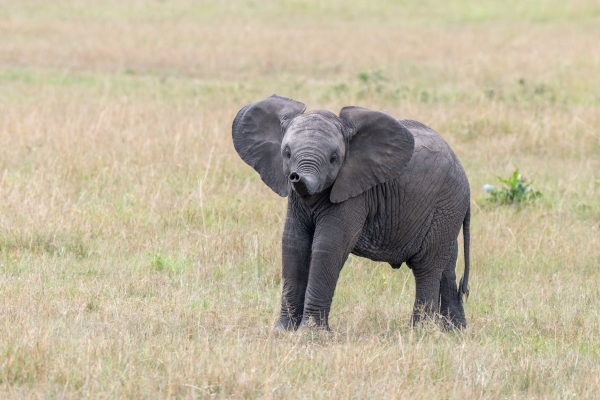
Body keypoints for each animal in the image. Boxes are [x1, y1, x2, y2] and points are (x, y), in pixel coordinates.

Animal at [232, 94, 472, 332]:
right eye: (287, 153)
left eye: (334, 158)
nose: (295, 177)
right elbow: (294, 243)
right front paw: (283, 332)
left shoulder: (356, 193)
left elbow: (329, 246)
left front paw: (310, 334)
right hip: (447, 211)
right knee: (446, 265)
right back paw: (454, 332)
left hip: (445, 204)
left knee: (427, 266)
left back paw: (419, 332)